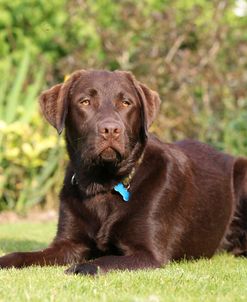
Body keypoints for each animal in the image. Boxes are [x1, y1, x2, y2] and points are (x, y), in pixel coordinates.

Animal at [0, 69, 247, 274]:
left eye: (126, 103)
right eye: (85, 101)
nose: (111, 129)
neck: (103, 183)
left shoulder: (148, 253)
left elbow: (103, 261)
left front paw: (81, 267)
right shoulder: (68, 244)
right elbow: (25, 254)